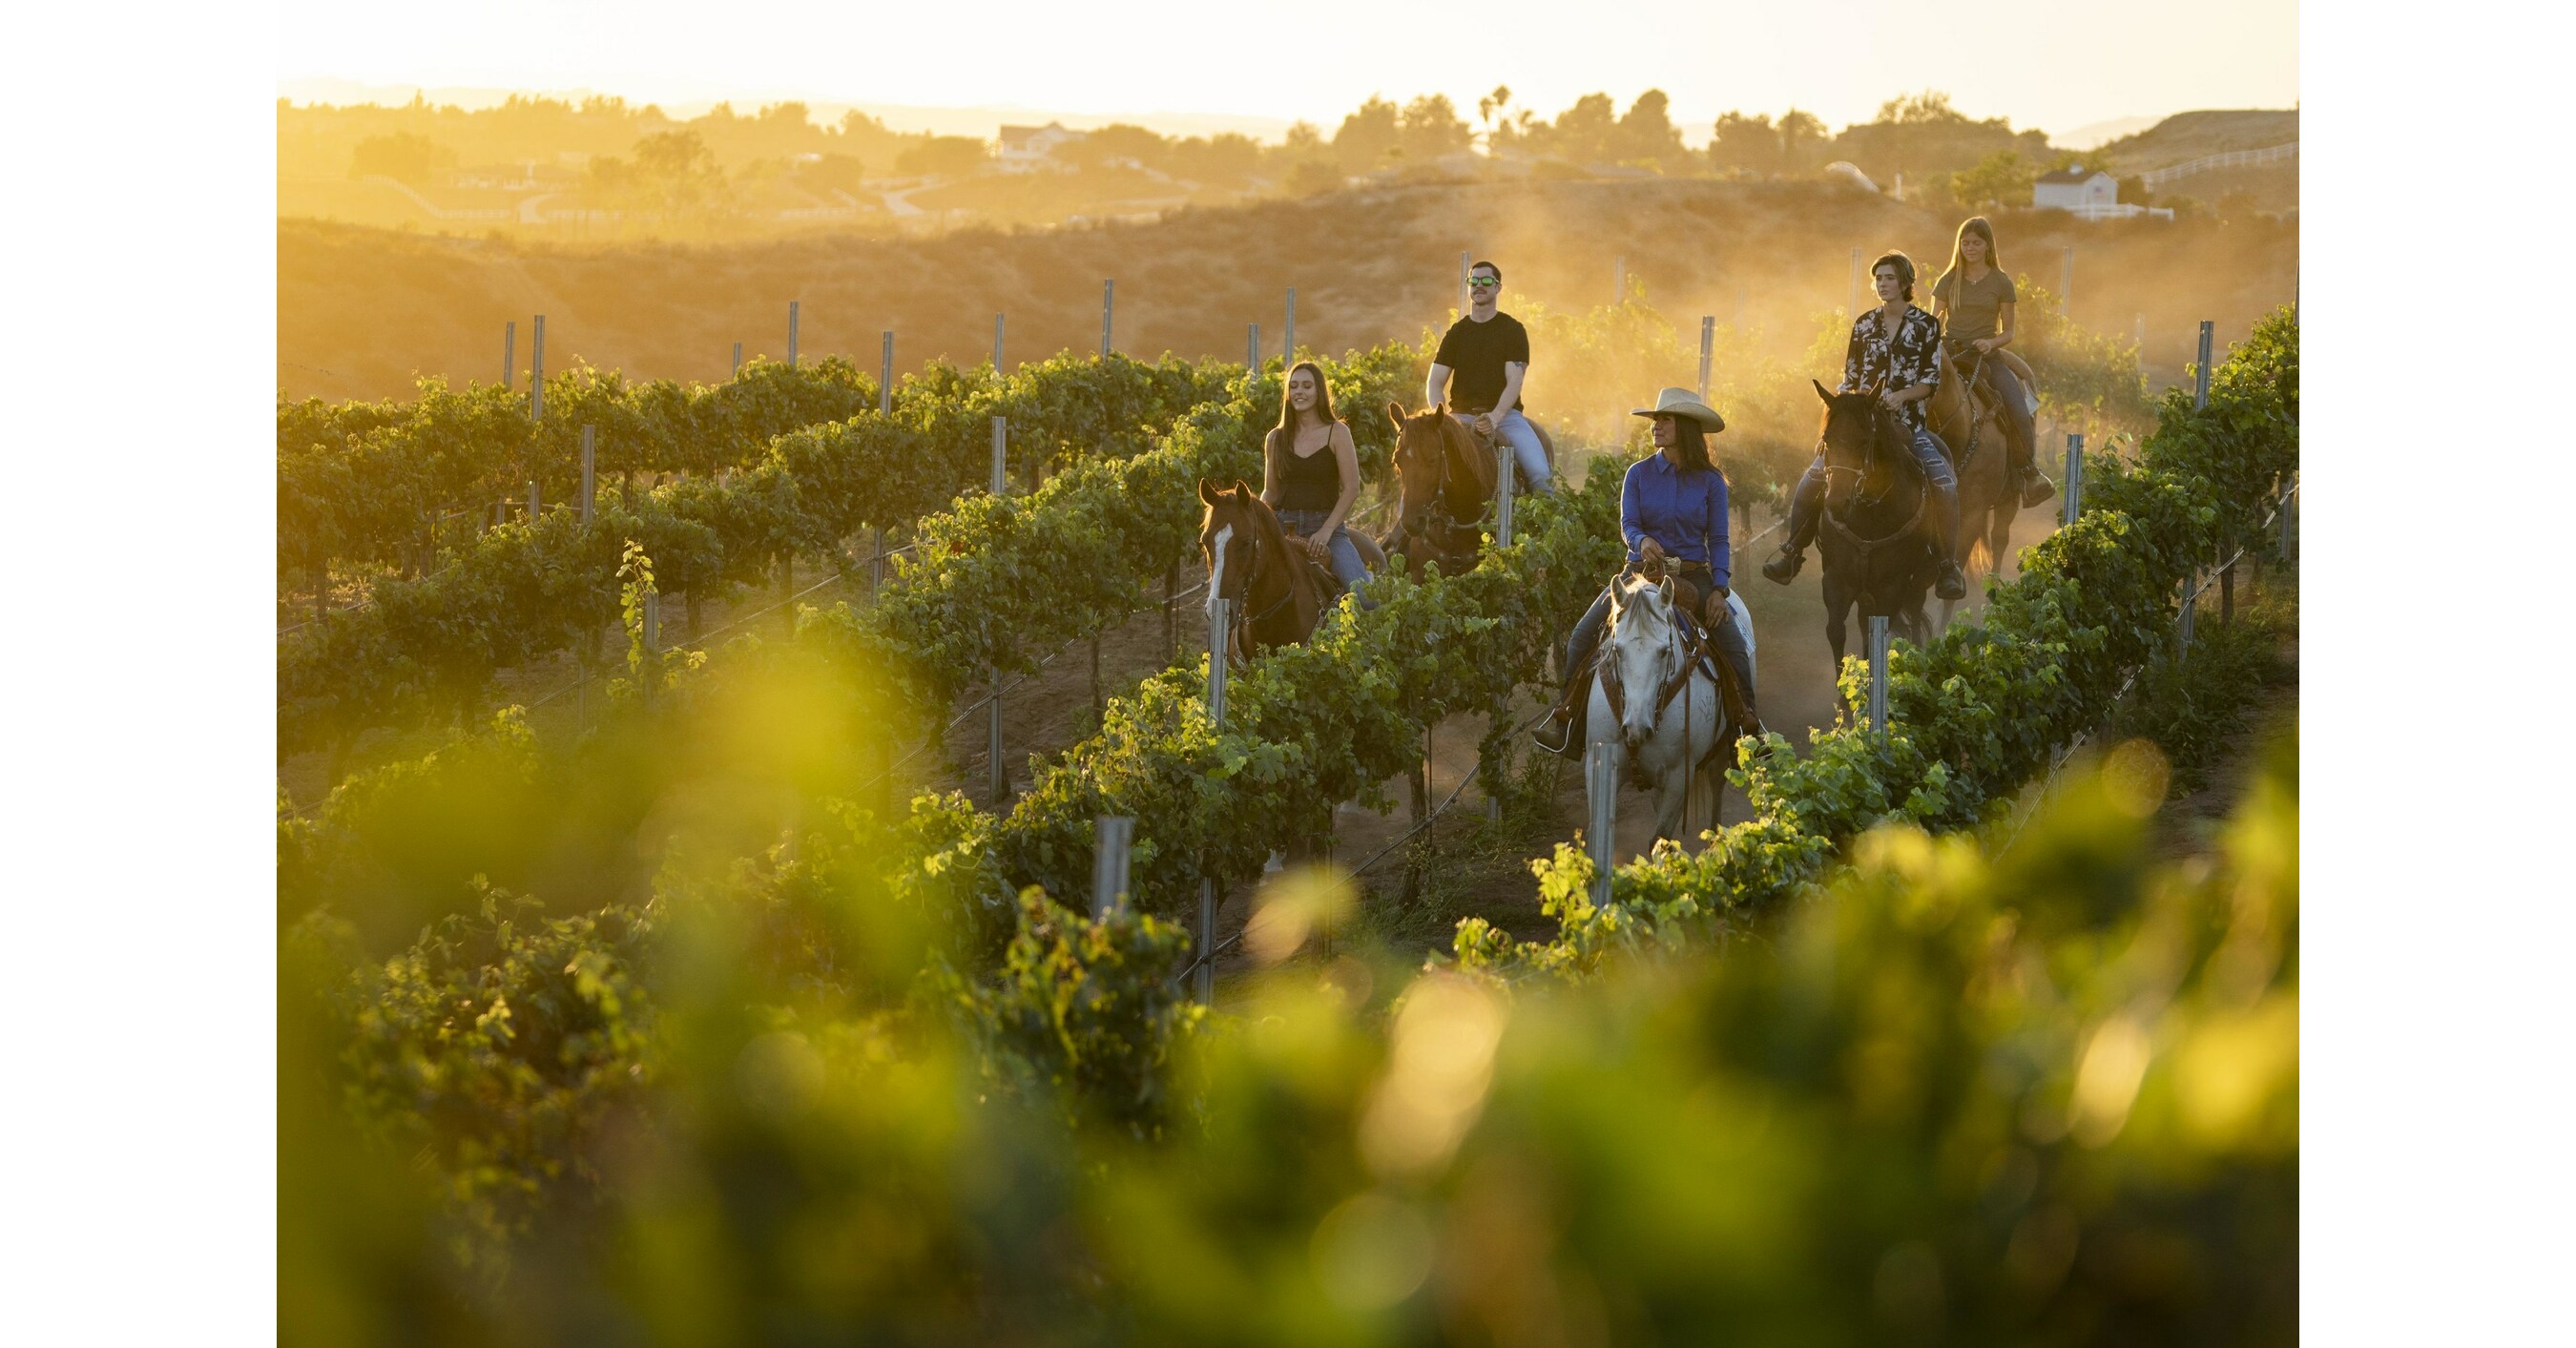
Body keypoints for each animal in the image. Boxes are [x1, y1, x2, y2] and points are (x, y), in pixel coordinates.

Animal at [1576, 571, 1761, 850]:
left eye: (1664, 651)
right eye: (1617, 650)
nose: (1636, 728)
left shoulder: (1678, 776)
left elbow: (1660, 838)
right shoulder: (1598, 764)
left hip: (1720, 749)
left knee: (1717, 787)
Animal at [1813, 379, 1937, 665]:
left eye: (1863, 441)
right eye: (1826, 439)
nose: (1836, 503)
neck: (1870, 515)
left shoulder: (1891, 587)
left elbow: (1874, 644)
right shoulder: (1837, 578)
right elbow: (1836, 632)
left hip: (1920, 581)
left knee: (1915, 616)